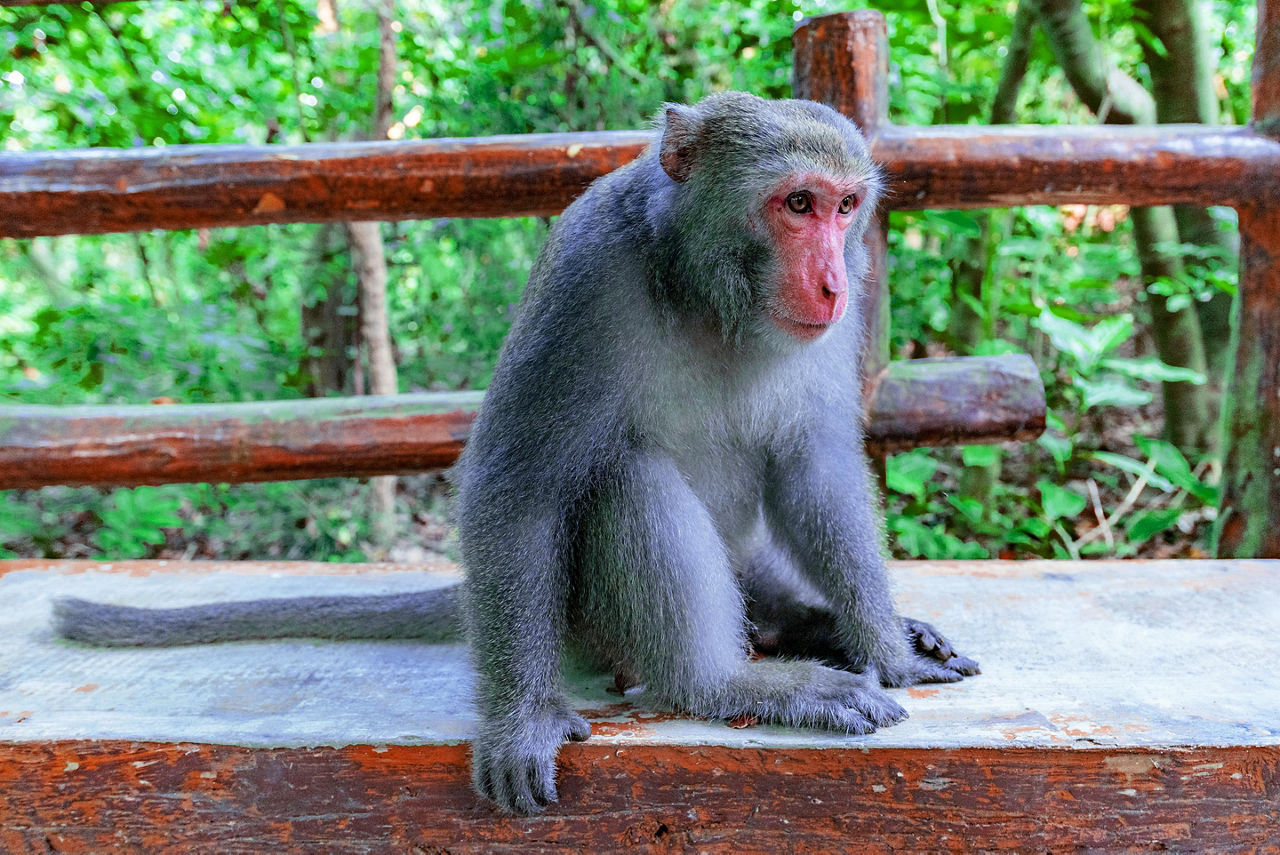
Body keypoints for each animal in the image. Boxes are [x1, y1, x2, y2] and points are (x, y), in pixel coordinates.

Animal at [47, 93, 967, 814]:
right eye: (798, 203)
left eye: (847, 208)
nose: (833, 282)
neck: (706, 293)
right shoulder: (586, 273)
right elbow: (519, 484)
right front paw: (522, 719)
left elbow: (816, 466)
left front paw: (885, 646)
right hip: (584, 620)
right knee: (626, 478)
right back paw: (720, 683)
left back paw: (810, 624)